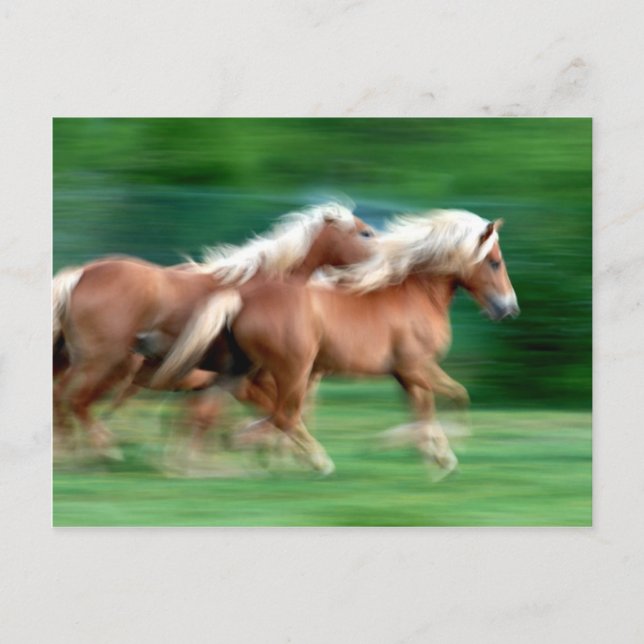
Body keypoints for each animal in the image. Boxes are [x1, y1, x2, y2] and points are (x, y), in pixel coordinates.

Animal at [52, 203, 377, 457]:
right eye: (365, 233)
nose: (379, 265)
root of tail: (82, 273)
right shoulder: (252, 378)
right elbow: (272, 413)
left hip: (86, 362)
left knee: (64, 398)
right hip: (103, 361)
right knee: (74, 400)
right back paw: (101, 449)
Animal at [151, 209, 519, 478]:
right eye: (494, 262)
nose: (509, 308)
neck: (414, 295)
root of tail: (240, 299)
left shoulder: (406, 373)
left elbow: (426, 408)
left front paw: (434, 456)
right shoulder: (417, 365)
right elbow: (453, 397)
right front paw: (446, 450)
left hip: (240, 369)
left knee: (222, 409)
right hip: (293, 369)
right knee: (281, 415)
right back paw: (299, 457)